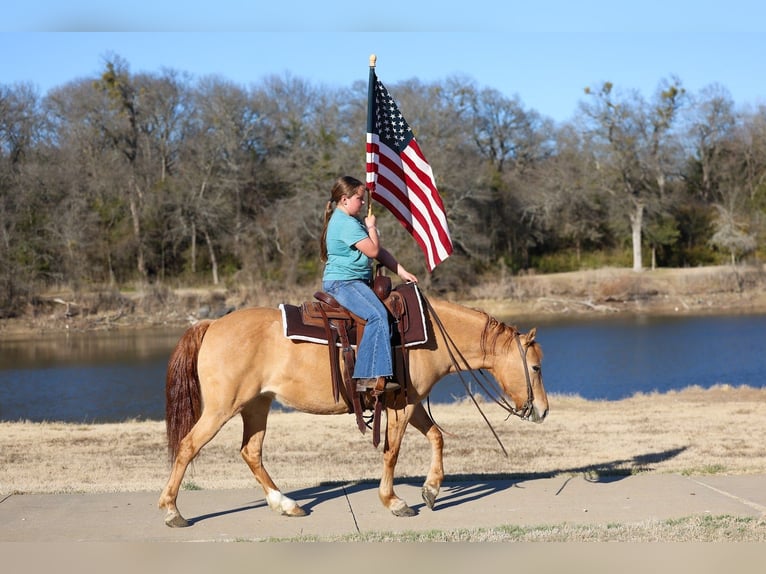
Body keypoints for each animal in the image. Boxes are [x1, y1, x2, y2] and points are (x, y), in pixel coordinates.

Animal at [157, 295, 549, 527]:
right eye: (535, 367)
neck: (431, 337)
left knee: (250, 452)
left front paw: (432, 489)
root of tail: (211, 324)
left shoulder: (409, 402)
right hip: (223, 407)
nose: (543, 411)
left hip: (257, 404)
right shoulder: (403, 405)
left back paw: (285, 504)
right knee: (189, 446)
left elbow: (437, 437)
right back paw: (173, 511)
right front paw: (394, 501)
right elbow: (392, 452)